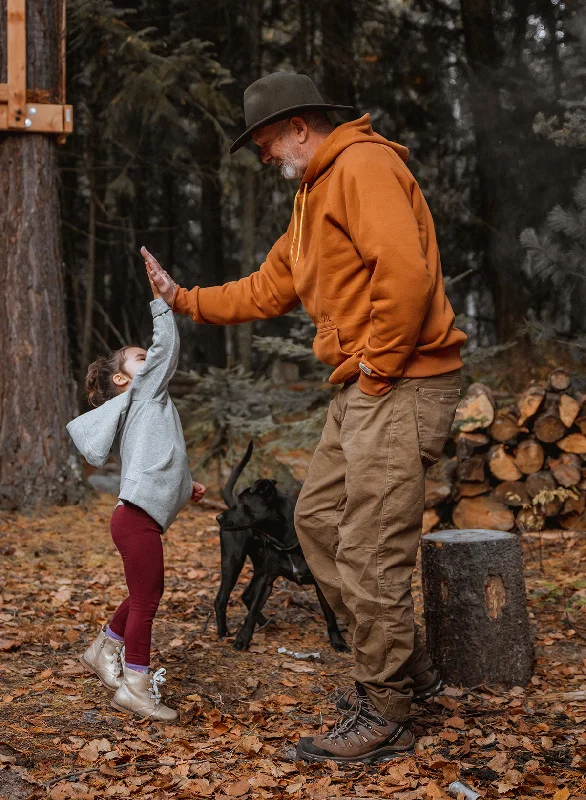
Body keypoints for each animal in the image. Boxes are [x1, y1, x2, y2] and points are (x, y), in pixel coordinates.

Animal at [214, 440, 346, 652]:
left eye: (242, 503)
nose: (218, 517)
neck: (287, 540)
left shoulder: (318, 583)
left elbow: (330, 615)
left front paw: (338, 641)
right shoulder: (267, 580)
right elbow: (250, 614)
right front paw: (242, 639)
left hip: (259, 567)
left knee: (246, 596)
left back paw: (264, 622)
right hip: (233, 561)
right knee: (222, 599)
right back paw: (223, 632)